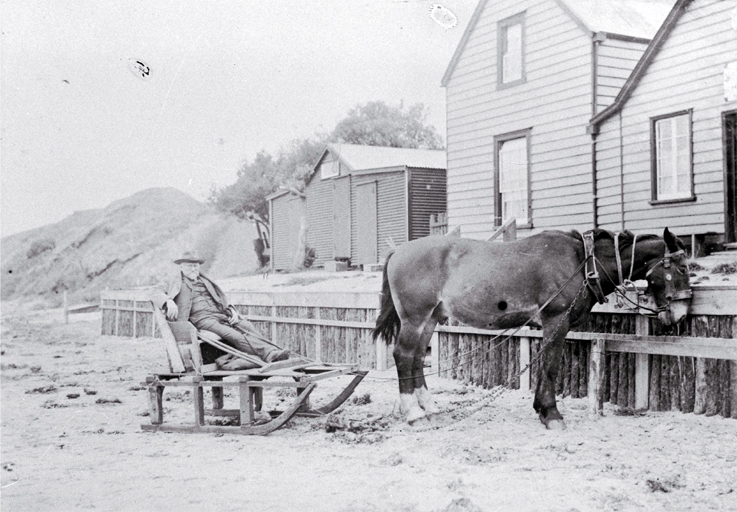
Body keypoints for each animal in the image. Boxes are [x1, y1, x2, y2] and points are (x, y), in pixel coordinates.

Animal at [374, 228, 688, 428]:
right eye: (684, 268)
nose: (681, 314)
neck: (582, 261)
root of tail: (399, 250)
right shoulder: (555, 321)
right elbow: (550, 364)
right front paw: (550, 413)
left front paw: (542, 409)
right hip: (415, 318)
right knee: (404, 356)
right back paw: (414, 415)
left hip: (430, 319)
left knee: (416, 358)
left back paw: (430, 410)